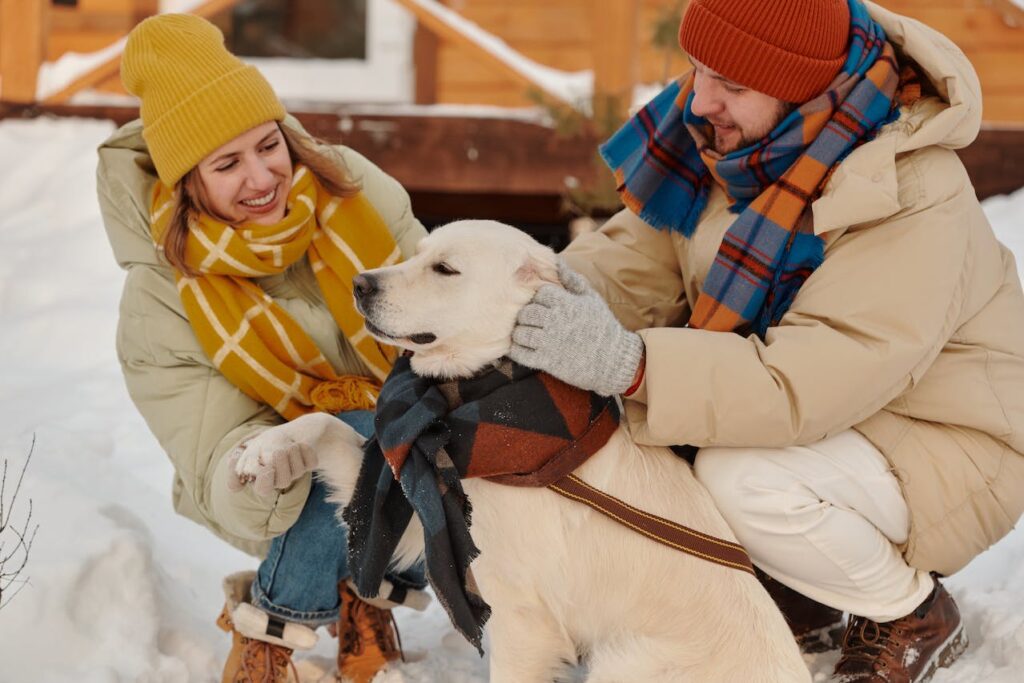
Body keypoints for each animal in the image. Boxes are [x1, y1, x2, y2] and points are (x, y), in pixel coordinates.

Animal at [237, 220, 806, 683]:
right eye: (417, 254)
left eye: (445, 269)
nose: (361, 284)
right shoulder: (419, 511)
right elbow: (322, 424)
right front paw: (266, 450)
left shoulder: (523, 618)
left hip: (625, 662)